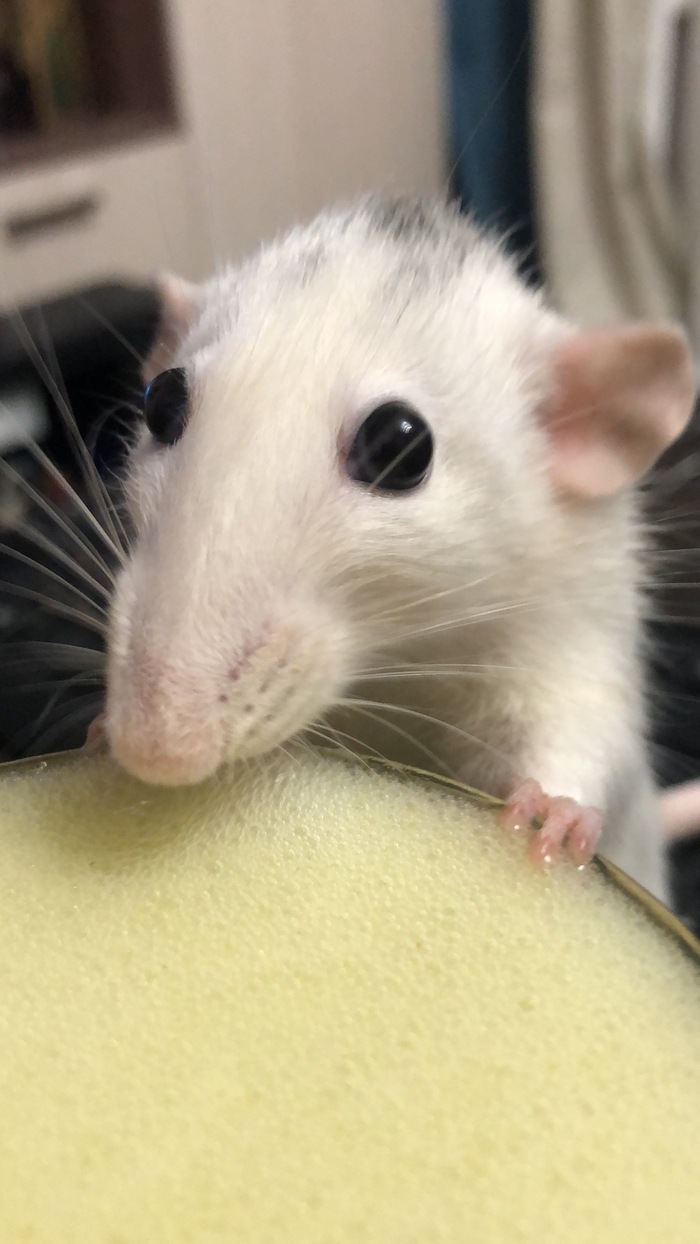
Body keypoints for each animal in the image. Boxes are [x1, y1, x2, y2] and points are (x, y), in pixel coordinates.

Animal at [102, 199, 695, 900]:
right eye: (160, 401)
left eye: (399, 446)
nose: (155, 749)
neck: (406, 662)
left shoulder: (574, 609)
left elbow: (583, 716)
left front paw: (555, 808)